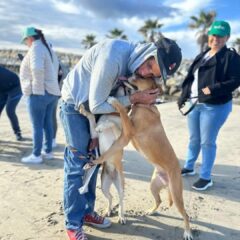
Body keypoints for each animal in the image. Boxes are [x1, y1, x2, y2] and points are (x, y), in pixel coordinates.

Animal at [94, 77, 193, 240]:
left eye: (140, 77)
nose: (129, 74)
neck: (145, 106)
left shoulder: (127, 132)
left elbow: (121, 111)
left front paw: (113, 101)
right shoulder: (125, 134)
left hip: (176, 194)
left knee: (185, 214)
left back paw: (188, 232)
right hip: (153, 186)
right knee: (159, 200)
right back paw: (151, 211)